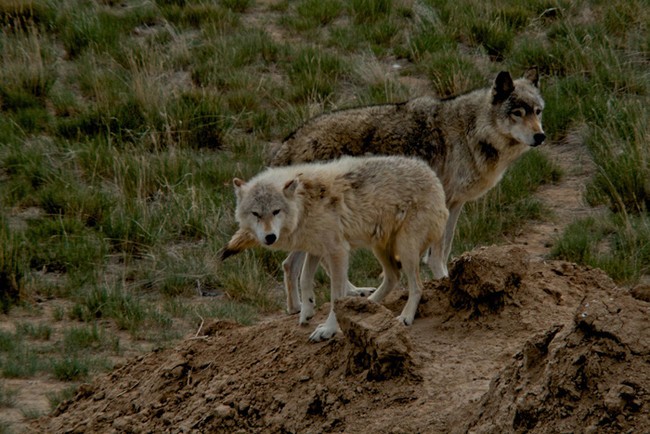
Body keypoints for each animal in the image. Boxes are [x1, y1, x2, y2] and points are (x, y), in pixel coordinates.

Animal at [220, 67, 544, 318]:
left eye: (538, 111)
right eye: (518, 112)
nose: (540, 136)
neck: (470, 131)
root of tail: (288, 141)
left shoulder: (456, 204)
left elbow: (444, 248)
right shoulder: (448, 203)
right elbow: (439, 252)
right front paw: (444, 279)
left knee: (291, 264)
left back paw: (302, 307)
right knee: (301, 264)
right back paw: (330, 300)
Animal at [228, 156, 446, 342]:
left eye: (276, 211)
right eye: (256, 214)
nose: (270, 237)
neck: (304, 204)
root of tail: (434, 176)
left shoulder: (337, 251)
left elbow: (335, 296)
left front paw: (328, 330)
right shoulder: (315, 248)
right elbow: (304, 279)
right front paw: (307, 311)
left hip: (405, 248)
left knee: (417, 286)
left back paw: (405, 317)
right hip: (380, 247)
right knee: (393, 277)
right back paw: (367, 304)